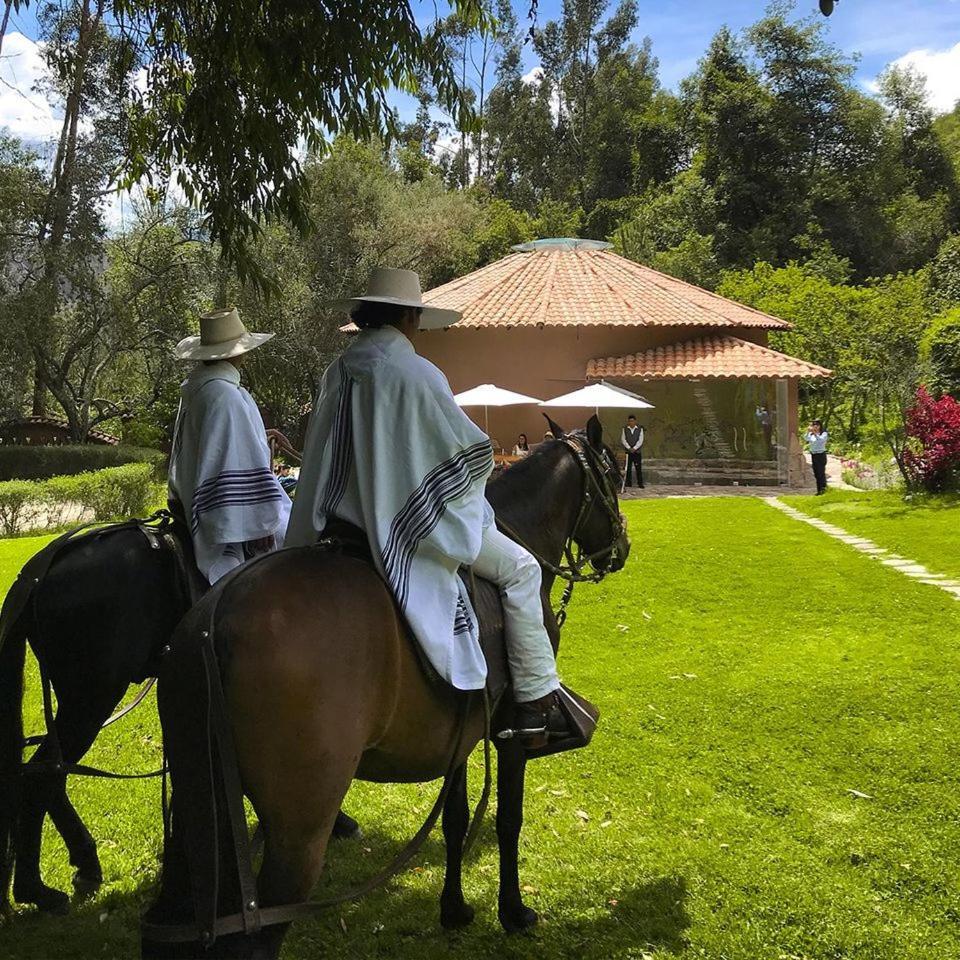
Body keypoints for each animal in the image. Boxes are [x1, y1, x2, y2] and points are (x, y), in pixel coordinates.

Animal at [139, 416, 628, 956]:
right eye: (613, 473)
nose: (622, 549)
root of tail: (215, 618)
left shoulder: (461, 732)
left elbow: (456, 819)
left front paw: (454, 909)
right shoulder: (510, 734)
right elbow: (508, 819)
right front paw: (513, 911)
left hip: (197, 805)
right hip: (298, 829)